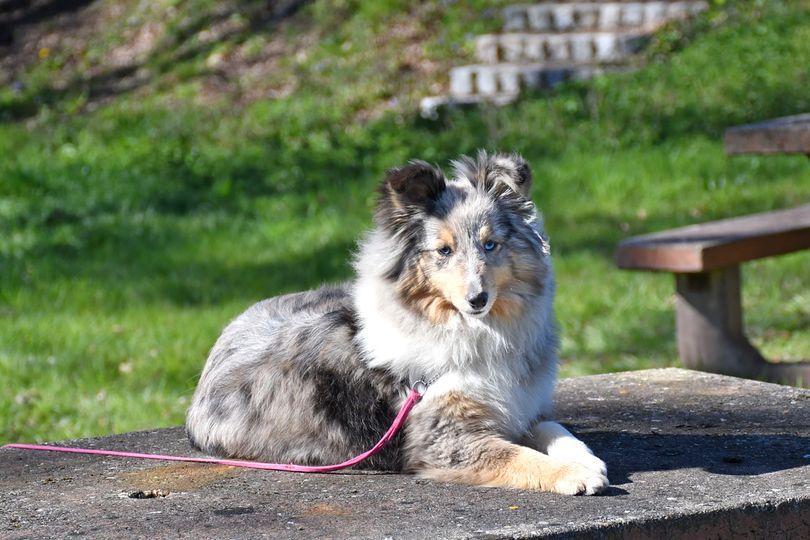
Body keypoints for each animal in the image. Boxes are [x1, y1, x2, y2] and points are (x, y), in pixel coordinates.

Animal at [186, 151, 608, 494]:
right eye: (444, 251)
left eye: (491, 245)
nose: (477, 299)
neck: (476, 331)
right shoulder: (442, 439)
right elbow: (518, 455)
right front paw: (573, 474)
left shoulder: (520, 405)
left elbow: (555, 428)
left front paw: (585, 459)